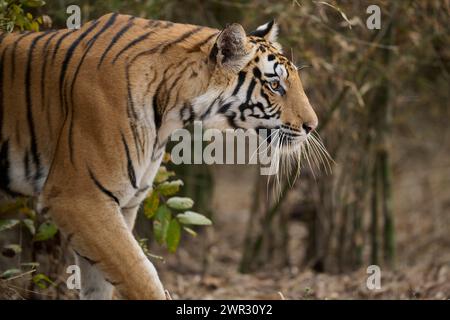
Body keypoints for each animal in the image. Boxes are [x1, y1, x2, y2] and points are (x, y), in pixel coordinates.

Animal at [0, 13, 316, 300]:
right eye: (275, 86)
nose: (312, 126)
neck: (172, 111)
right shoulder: (79, 198)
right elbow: (140, 275)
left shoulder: (122, 203)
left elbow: (101, 283)